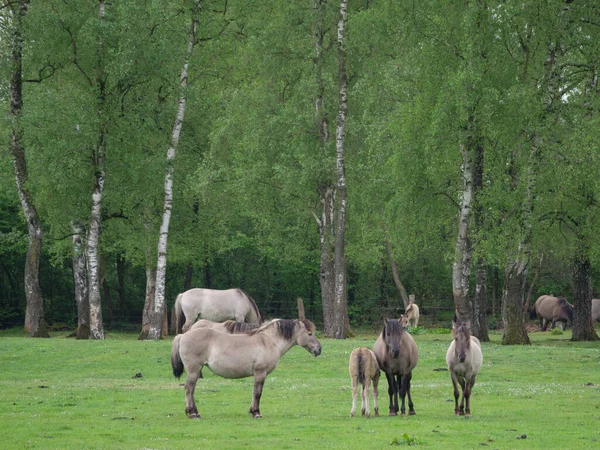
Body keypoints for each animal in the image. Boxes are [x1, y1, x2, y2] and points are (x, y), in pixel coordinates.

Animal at [171, 320, 322, 418]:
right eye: (309, 333)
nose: (319, 349)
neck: (267, 341)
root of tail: (183, 336)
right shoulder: (260, 373)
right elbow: (257, 393)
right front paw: (256, 412)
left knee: (191, 390)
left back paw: (195, 412)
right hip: (194, 370)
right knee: (189, 389)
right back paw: (192, 413)